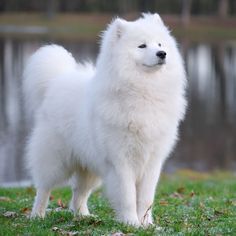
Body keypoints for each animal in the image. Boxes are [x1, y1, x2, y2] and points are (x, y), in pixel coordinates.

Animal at [23, 13, 186, 227]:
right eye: (142, 46)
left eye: (160, 43)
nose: (162, 53)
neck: (144, 90)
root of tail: (57, 81)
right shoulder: (121, 160)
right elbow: (127, 196)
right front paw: (131, 223)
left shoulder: (152, 161)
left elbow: (145, 198)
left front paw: (147, 224)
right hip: (55, 160)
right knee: (44, 188)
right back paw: (37, 215)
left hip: (89, 167)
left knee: (78, 194)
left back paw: (84, 216)